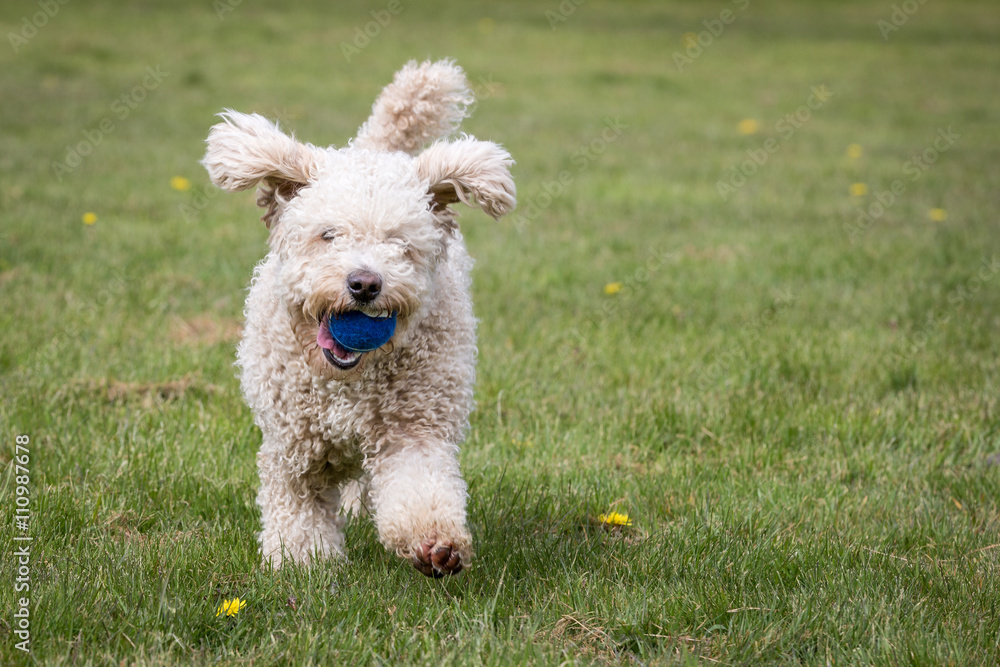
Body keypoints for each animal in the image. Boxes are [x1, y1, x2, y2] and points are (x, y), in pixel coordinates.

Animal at [202, 60, 516, 576]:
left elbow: (419, 484)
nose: (365, 284)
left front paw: (435, 544)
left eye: (402, 244)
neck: (347, 383)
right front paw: (301, 563)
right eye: (328, 235)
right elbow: (298, 503)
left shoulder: (414, 426)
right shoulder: (294, 444)